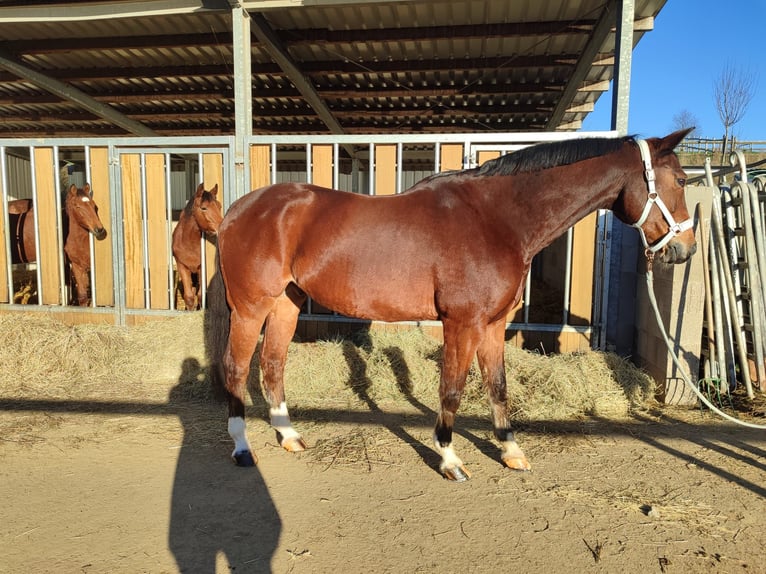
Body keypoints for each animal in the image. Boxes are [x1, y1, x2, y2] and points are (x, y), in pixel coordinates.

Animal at [206, 129, 697, 482]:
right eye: (680, 180)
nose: (685, 249)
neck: (497, 218)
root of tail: (236, 211)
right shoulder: (463, 323)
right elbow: (453, 390)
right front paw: (449, 458)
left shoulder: (494, 325)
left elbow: (498, 386)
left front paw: (512, 451)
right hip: (251, 307)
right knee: (236, 368)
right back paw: (243, 448)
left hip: (285, 304)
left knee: (272, 365)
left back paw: (289, 436)